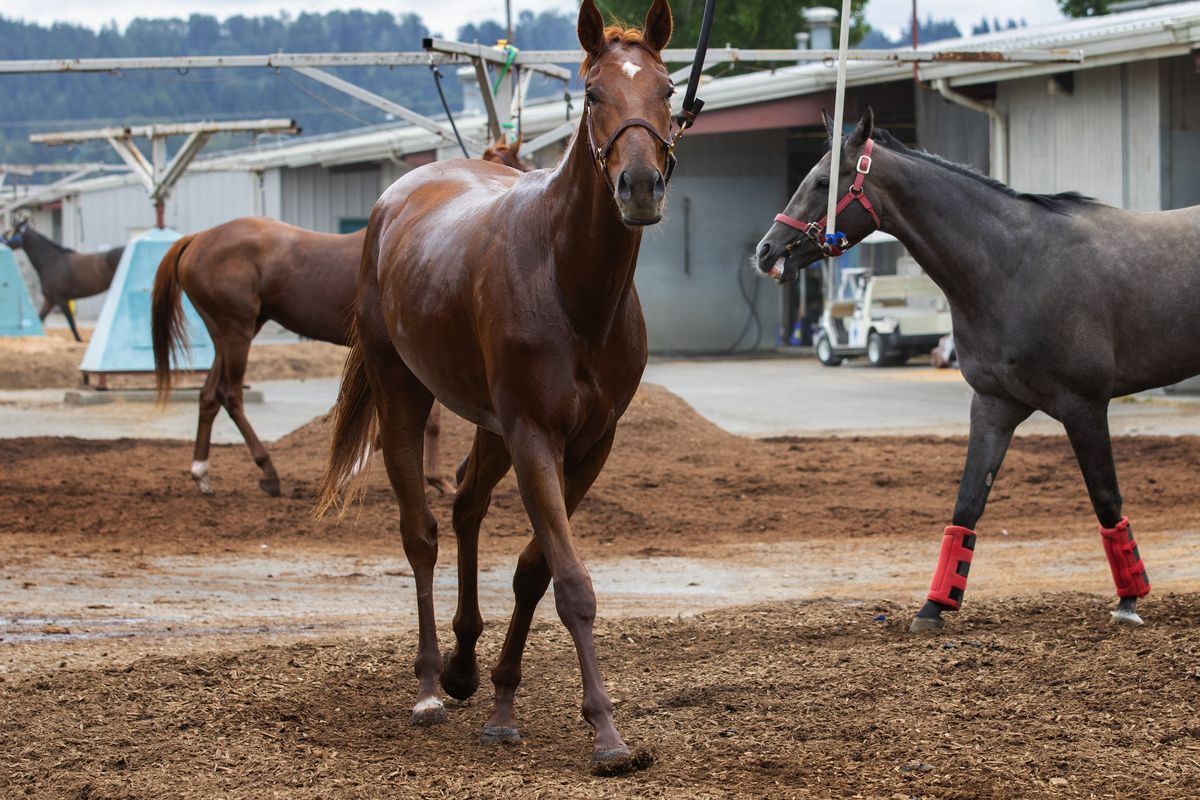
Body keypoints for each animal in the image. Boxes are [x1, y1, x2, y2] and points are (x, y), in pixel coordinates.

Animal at [150, 140, 530, 496]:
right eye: (514, 163)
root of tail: (197, 239)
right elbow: (429, 422)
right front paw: (436, 478)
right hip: (236, 332)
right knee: (230, 395)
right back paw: (268, 471)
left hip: (229, 332)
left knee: (209, 395)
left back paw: (202, 474)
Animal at [316, 0, 676, 777]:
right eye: (593, 93)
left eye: (667, 89)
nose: (639, 187)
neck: (569, 283)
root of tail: (396, 198)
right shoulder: (535, 435)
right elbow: (571, 583)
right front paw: (607, 735)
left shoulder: (590, 444)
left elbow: (536, 571)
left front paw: (505, 703)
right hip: (403, 391)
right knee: (421, 532)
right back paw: (429, 685)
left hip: (489, 425)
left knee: (466, 505)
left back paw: (462, 665)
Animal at [753, 107, 1195, 633]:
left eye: (822, 181)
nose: (766, 251)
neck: (1013, 266)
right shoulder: (994, 405)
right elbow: (968, 502)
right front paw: (933, 607)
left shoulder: (1084, 405)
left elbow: (1106, 497)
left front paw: (1129, 600)